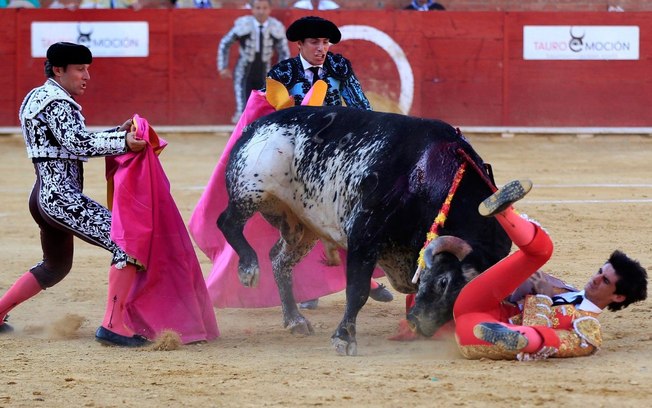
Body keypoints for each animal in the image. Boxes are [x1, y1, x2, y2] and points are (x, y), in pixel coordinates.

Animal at [219, 105, 516, 354]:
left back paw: (295, 320)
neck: (430, 173)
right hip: (251, 190)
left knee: (280, 260)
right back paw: (248, 269)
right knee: (227, 222)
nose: (420, 326)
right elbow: (358, 290)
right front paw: (344, 338)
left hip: (302, 227)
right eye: (444, 282)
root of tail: (256, 125)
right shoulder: (364, 233)